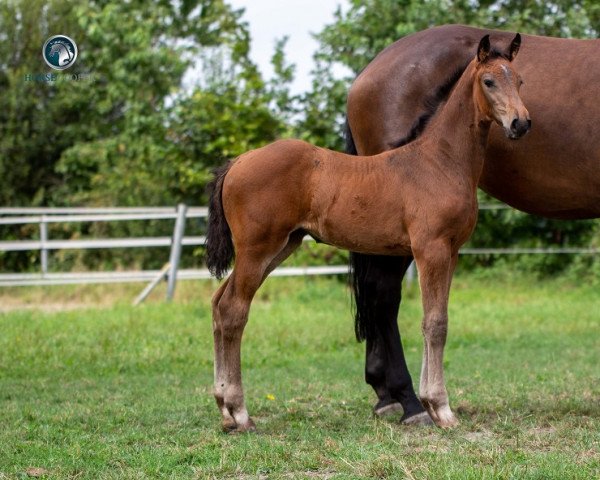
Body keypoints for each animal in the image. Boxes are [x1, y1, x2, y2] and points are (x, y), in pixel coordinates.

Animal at [206, 33, 528, 432]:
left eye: (519, 80)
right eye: (489, 81)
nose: (520, 123)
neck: (439, 161)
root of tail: (237, 162)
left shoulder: (450, 252)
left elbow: (435, 319)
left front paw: (429, 405)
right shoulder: (431, 249)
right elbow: (435, 323)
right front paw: (441, 409)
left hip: (279, 247)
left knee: (218, 302)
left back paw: (224, 408)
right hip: (257, 249)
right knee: (234, 310)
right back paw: (239, 412)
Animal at [346, 24, 600, 426]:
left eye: (522, 80)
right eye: (489, 82)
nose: (521, 123)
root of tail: (363, 77)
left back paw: (387, 395)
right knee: (383, 293)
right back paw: (409, 402)